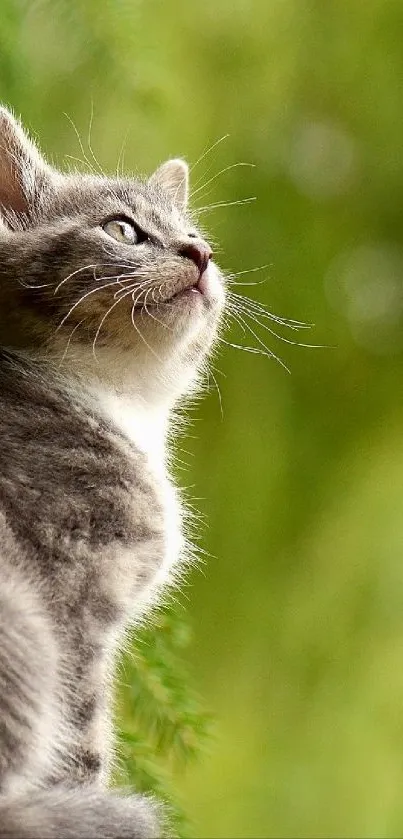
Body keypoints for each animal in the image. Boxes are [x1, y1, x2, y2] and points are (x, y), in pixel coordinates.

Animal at [0, 108, 226, 836]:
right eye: (123, 229)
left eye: (196, 237)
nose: (198, 255)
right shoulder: (72, 601)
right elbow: (80, 737)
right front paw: (86, 796)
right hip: (23, 624)